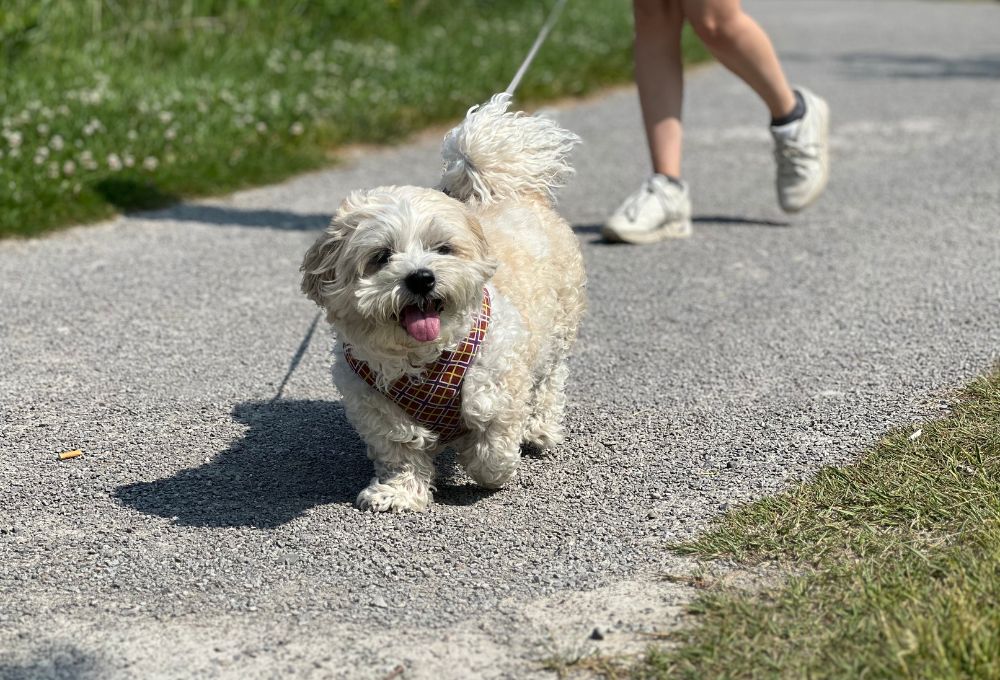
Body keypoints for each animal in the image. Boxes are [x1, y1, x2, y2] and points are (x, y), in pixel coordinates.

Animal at [302, 93, 584, 512]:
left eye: (442, 249)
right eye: (381, 256)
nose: (421, 277)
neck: (423, 359)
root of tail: (514, 193)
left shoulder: (499, 373)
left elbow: (492, 433)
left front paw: (486, 462)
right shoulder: (374, 403)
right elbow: (400, 448)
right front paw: (399, 491)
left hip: (558, 328)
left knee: (550, 381)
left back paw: (539, 429)